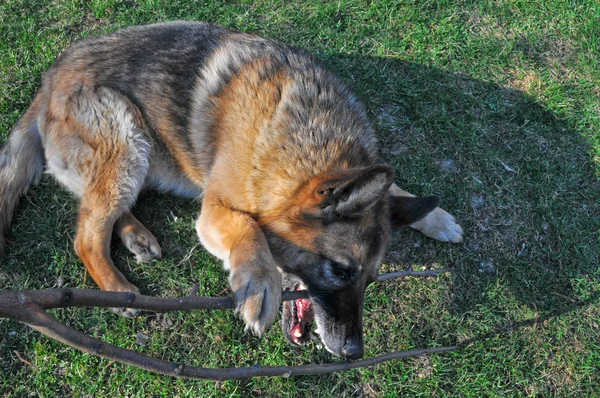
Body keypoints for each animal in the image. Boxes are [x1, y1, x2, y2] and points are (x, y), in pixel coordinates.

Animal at [0, 21, 464, 360]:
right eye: (339, 270)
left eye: (371, 279)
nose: (353, 352)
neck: (300, 139)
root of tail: (48, 82)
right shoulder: (216, 209)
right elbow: (248, 227)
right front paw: (259, 282)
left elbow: (393, 185)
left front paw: (436, 217)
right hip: (127, 140)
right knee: (86, 234)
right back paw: (117, 288)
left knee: (101, 210)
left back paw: (136, 235)